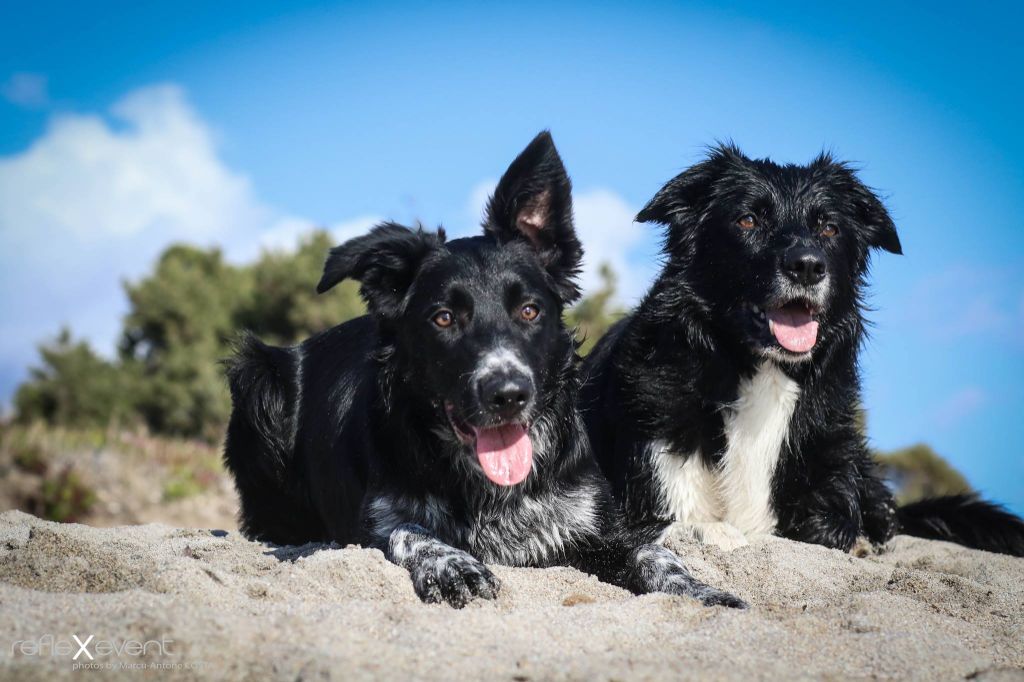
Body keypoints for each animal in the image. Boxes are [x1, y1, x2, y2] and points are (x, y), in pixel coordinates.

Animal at [222, 131, 745, 606]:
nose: (508, 395)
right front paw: (452, 565)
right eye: (443, 318)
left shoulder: (595, 526)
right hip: (258, 378)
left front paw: (701, 591)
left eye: (530, 311)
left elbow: (655, 554)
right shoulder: (375, 521)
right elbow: (411, 532)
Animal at [581, 143, 1024, 552]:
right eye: (747, 220)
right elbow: (690, 525)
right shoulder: (657, 475)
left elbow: (833, 528)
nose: (808, 266)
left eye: (828, 228)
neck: (760, 371)